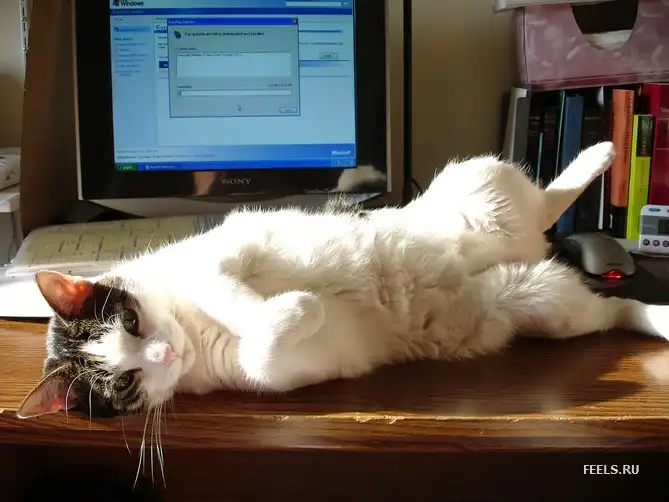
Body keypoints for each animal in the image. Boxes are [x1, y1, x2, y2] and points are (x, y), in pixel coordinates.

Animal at [18, 141, 669, 420]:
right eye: (125, 383)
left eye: (130, 320)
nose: (164, 352)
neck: (192, 330)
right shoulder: (288, 372)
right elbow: (264, 355)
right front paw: (300, 311)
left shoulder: (216, 255)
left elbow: (224, 288)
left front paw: (291, 303)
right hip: (540, 301)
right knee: (611, 310)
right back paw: (659, 317)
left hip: (480, 186)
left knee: (546, 199)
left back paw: (602, 153)